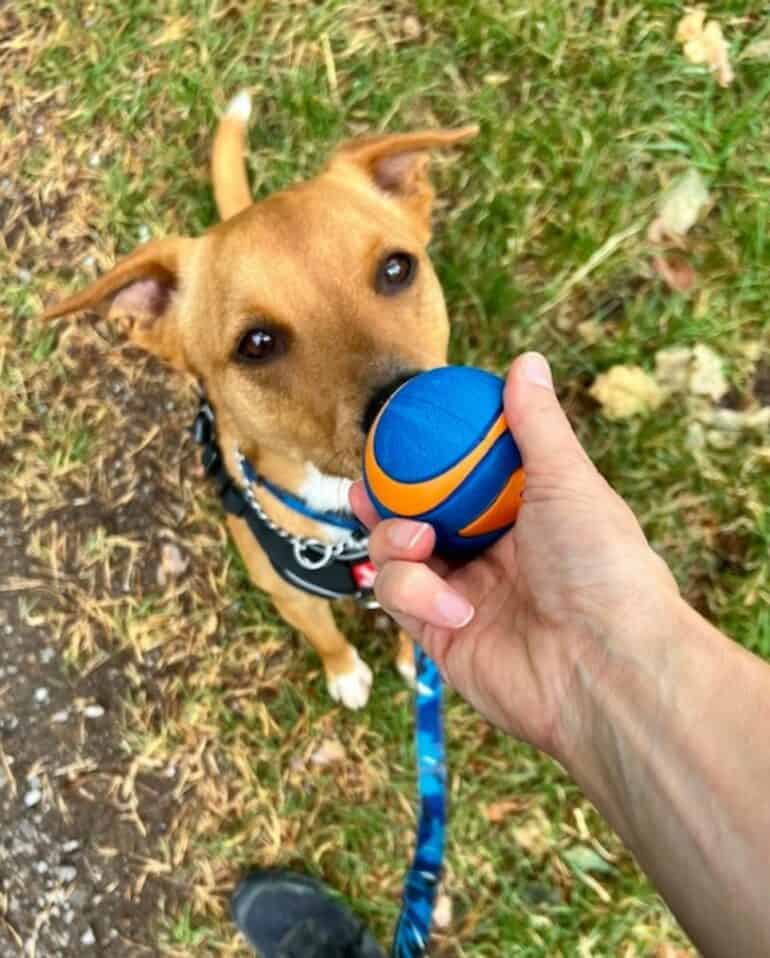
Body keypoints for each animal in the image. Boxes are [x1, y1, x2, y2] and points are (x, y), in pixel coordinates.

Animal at [43, 94, 474, 712]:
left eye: (397, 268)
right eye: (257, 344)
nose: (419, 422)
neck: (346, 524)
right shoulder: (289, 596)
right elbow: (324, 635)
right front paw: (345, 671)